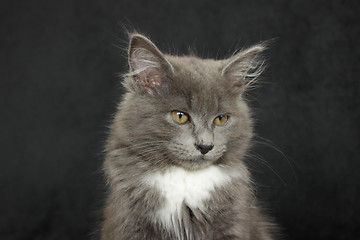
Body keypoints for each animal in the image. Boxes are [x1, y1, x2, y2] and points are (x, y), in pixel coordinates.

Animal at [101, 33, 276, 240]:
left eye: (221, 119)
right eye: (180, 116)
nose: (205, 146)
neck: (184, 179)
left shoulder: (235, 223)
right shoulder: (128, 222)